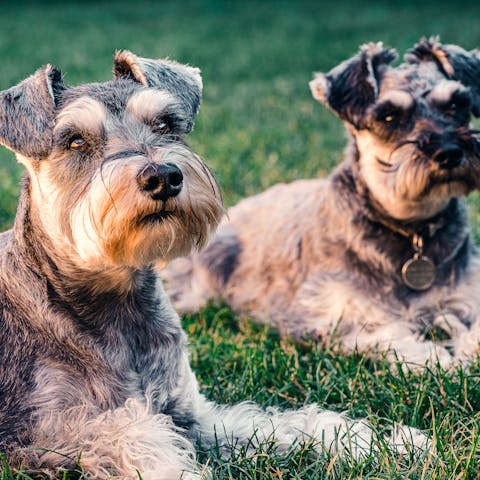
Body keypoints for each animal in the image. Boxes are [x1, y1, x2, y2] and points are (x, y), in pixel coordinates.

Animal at [164, 38, 480, 368]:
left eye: (456, 104)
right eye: (389, 116)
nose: (449, 152)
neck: (412, 230)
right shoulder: (344, 314)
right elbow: (397, 338)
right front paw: (443, 361)